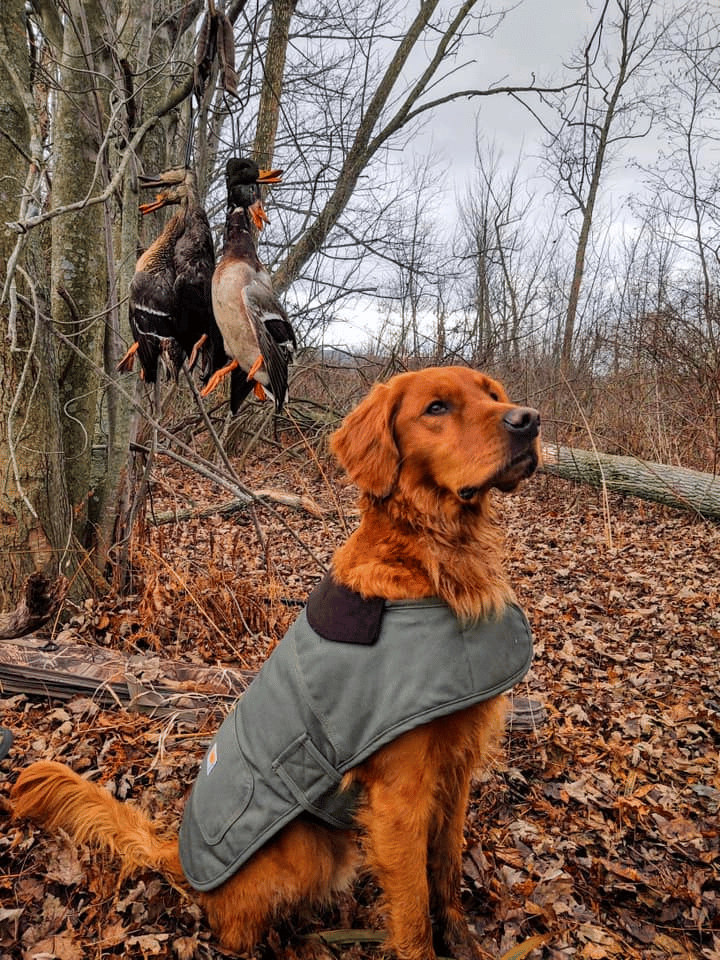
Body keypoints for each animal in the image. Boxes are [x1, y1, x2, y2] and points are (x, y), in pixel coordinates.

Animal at [12, 366, 540, 960]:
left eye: (492, 395)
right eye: (436, 408)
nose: (529, 420)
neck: (434, 562)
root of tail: (182, 859)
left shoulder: (457, 768)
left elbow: (446, 872)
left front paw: (463, 940)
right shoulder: (400, 796)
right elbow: (412, 914)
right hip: (307, 849)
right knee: (237, 930)